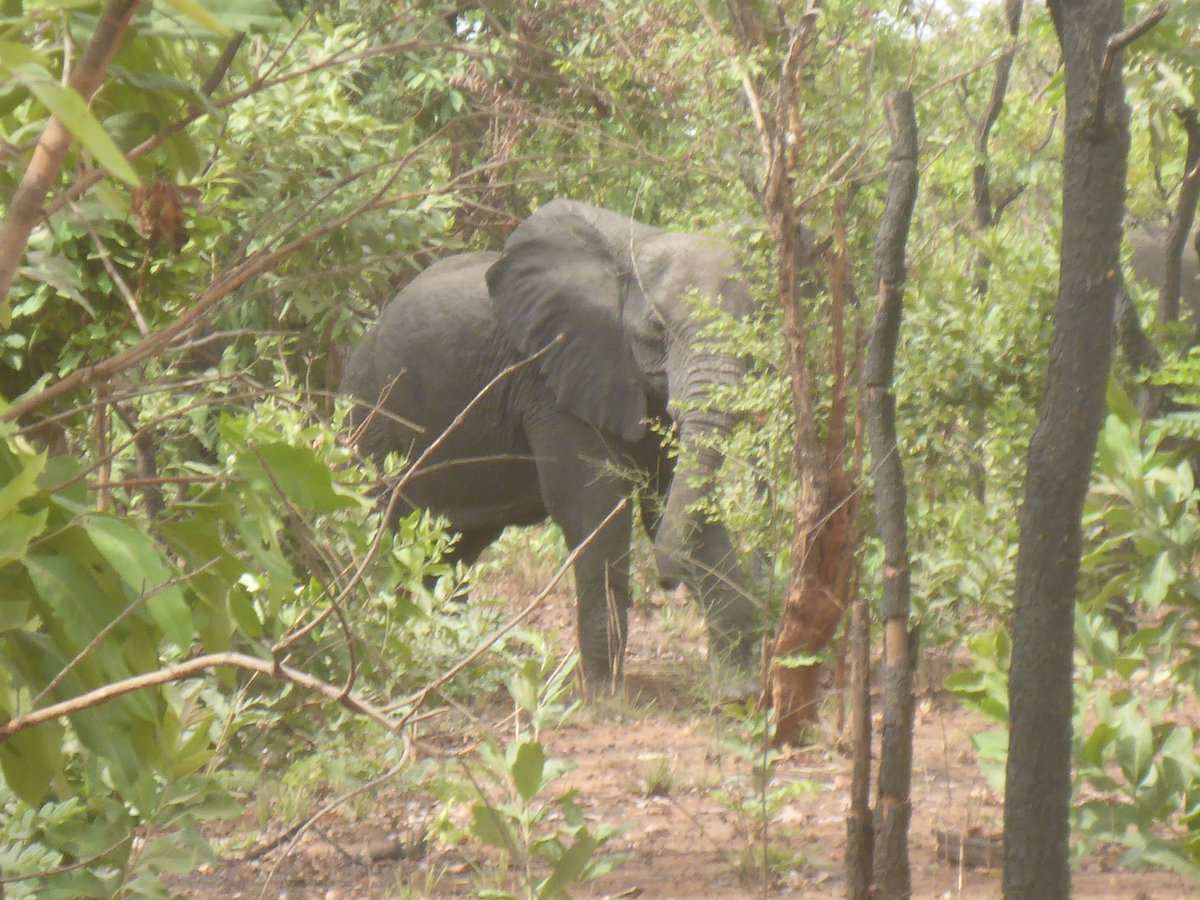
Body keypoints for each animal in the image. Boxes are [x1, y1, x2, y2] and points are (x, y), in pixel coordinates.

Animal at [341, 200, 759, 691]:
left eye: (755, 324)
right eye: (658, 329)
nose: (667, 582)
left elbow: (674, 503)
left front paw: (735, 690)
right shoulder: (551, 379)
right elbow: (595, 509)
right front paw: (604, 695)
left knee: (455, 546)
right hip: (369, 417)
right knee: (384, 526)